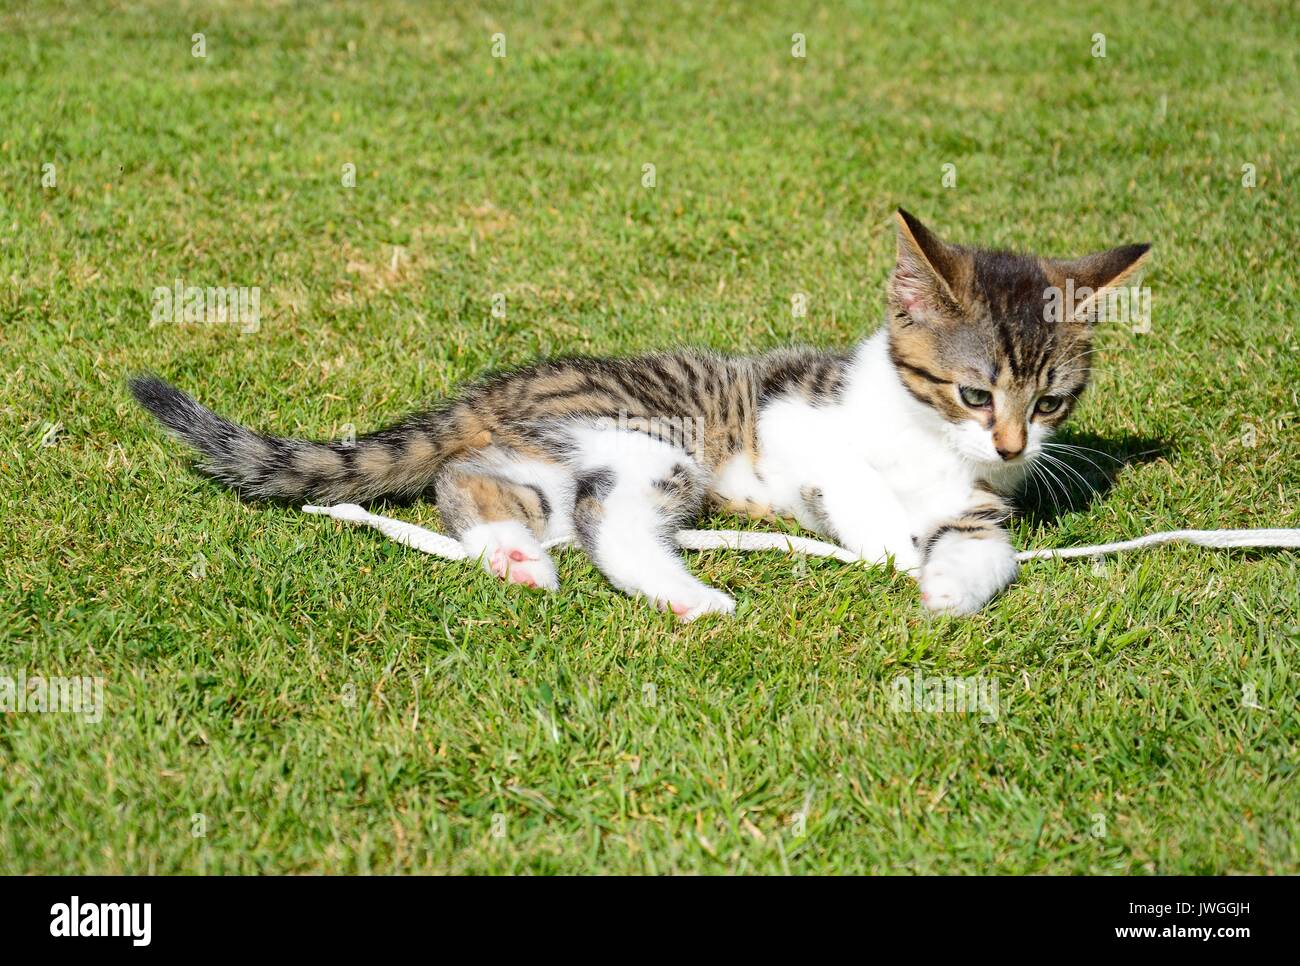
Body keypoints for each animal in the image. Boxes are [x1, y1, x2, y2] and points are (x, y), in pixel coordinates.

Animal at [131, 208, 1149, 624]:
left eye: (1051, 400)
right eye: (974, 393)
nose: (1013, 445)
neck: (926, 441)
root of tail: (494, 391)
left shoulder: (975, 508)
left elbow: (988, 552)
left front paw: (944, 589)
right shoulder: (791, 414)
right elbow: (850, 477)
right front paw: (891, 543)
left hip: (566, 457)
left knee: (478, 483)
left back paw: (524, 558)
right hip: (650, 439)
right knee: (598, 518)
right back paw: (681, 593)